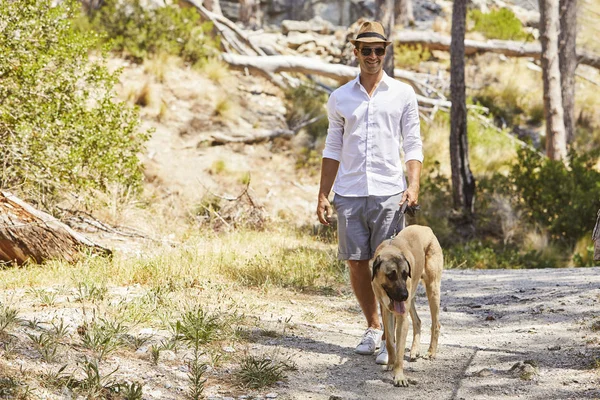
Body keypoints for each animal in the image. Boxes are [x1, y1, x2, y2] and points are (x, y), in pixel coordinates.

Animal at [368, 225, 442, 384]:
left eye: (405, 273)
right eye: (391, 275)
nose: (403, 295)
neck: (391, 249)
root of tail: (426, 228)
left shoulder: (401, 317)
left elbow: (400, 348)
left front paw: (399, 376)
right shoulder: (387, 312)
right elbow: (390, 342)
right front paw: (390, 363)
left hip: (432, 289)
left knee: (436, 324)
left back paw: (431, 352)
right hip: (411, 297)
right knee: (417, 321)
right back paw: (414, 350)